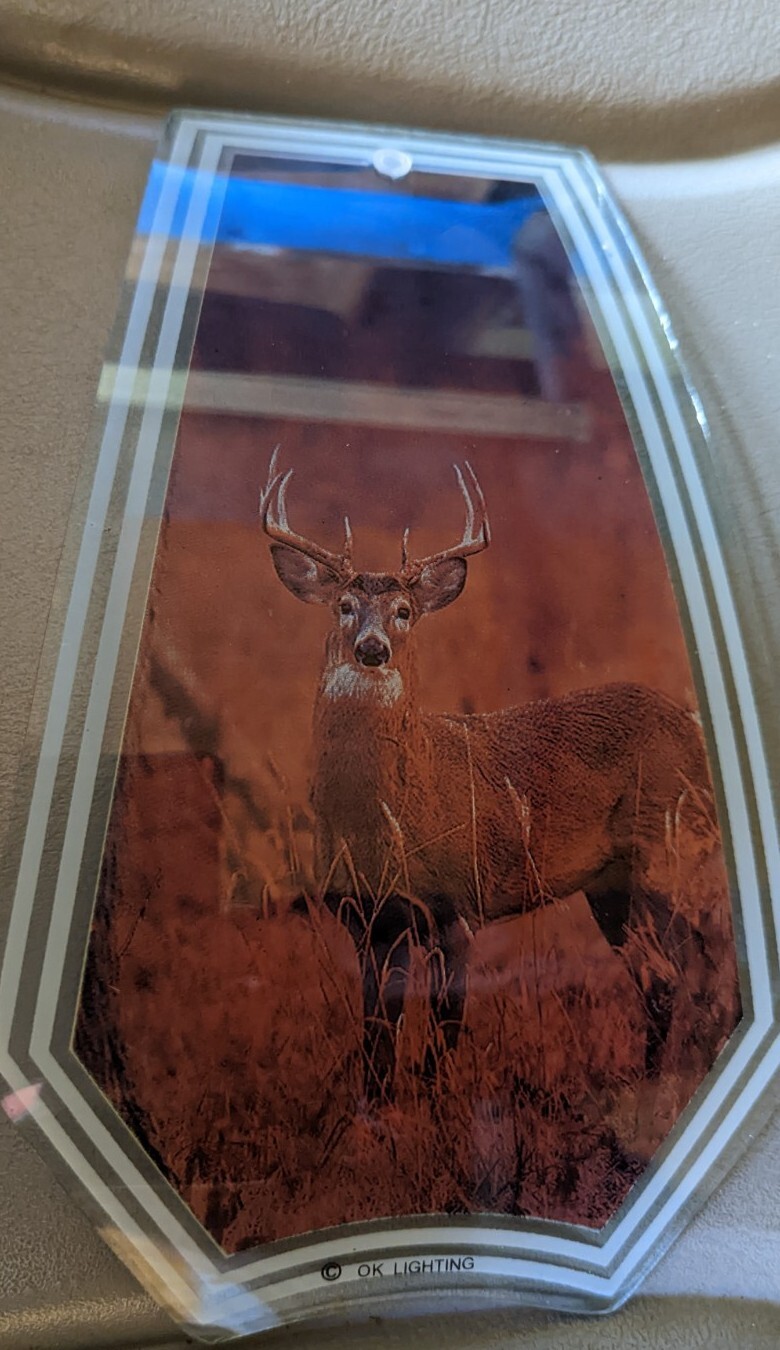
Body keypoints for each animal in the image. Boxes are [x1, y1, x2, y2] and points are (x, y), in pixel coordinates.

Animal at [260, 449, 730, 1097]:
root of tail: (689, 722)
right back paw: (653, 1080)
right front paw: (373, 1112)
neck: (384, 819)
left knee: (706, 965)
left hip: (675, 853)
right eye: (345, 606)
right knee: (665, 979)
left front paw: (435, 1107)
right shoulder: (366, 920)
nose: (373, 649)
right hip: (613, 886)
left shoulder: (455, 903)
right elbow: (376, 1037)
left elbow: (443, 1031)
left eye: (404, 611)